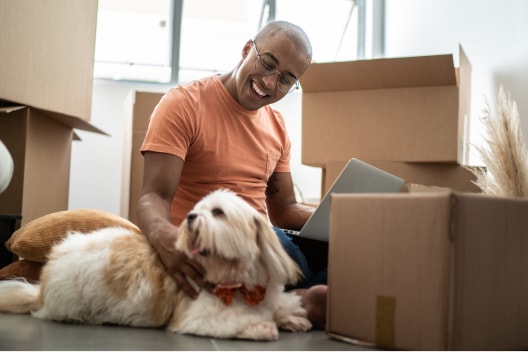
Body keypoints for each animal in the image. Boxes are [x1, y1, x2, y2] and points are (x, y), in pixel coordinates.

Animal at [0, 190, 312, 340]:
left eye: (218, 212)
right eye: (196, 210)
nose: (190, 217)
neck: (234, 277)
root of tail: (41, 288)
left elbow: (280, 306)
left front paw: (292, 318)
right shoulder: (198, 315)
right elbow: (236, 321)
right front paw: (263, 327)